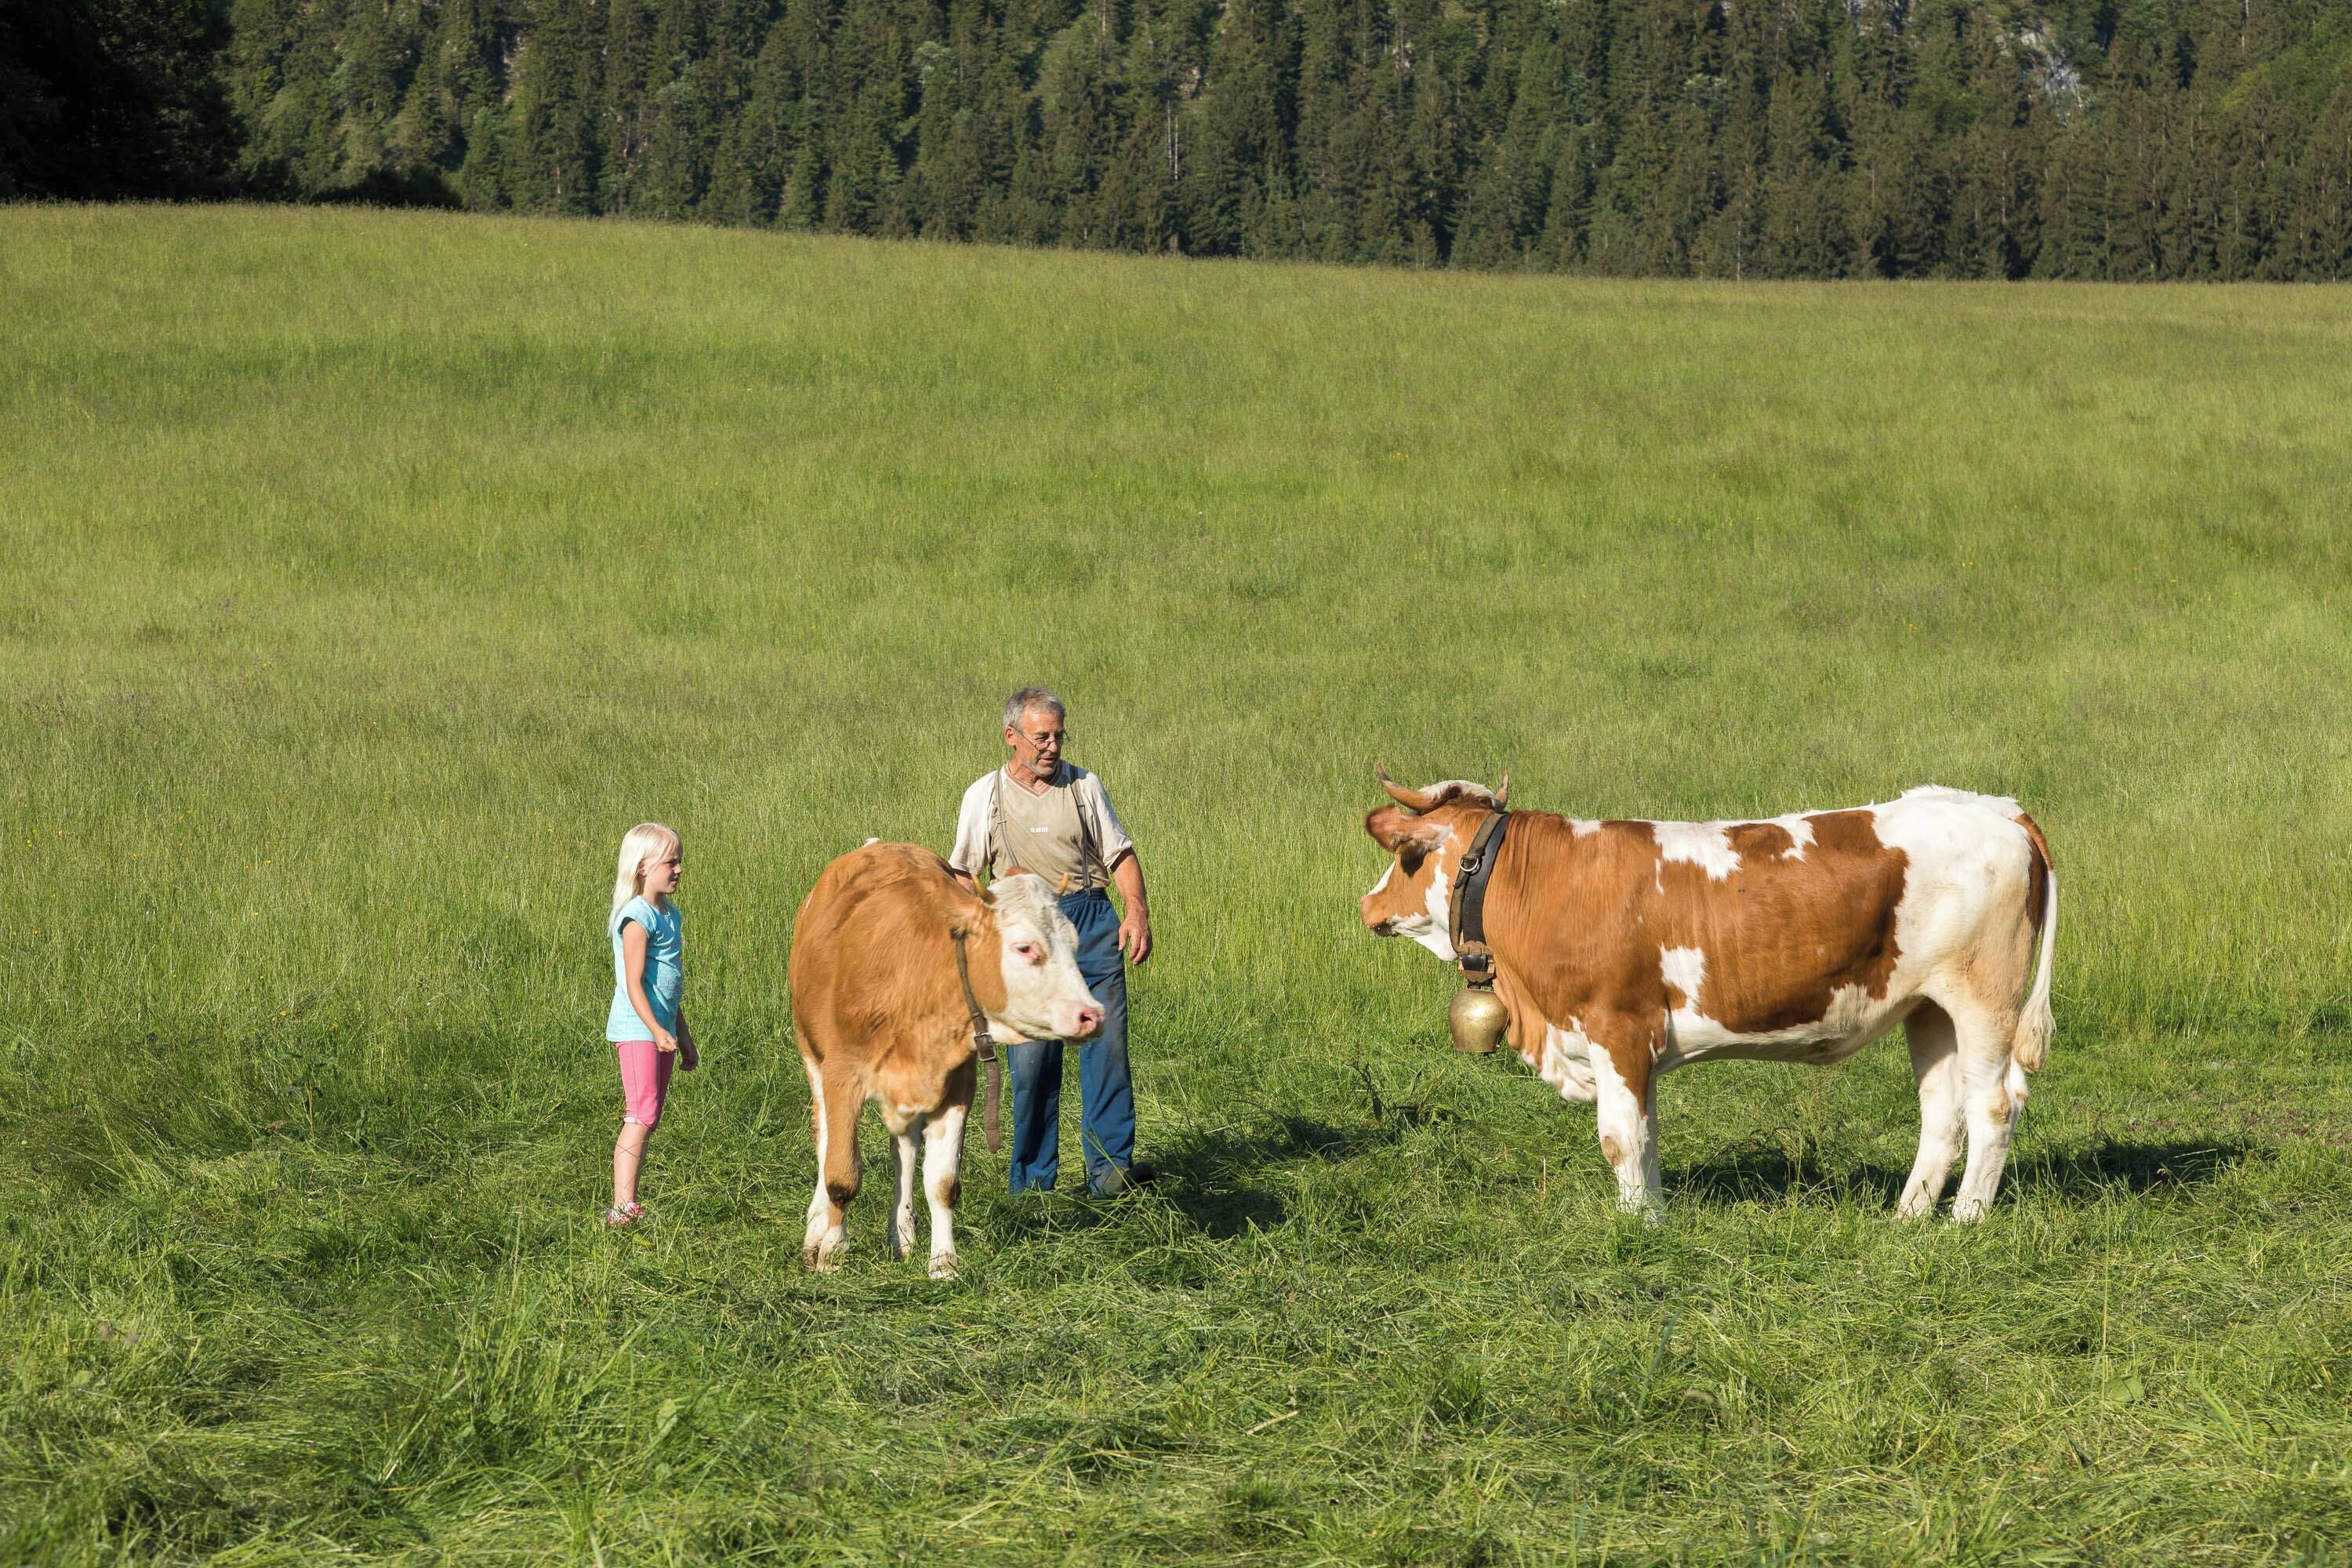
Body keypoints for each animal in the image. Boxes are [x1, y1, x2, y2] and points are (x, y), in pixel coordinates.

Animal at [789, 843, 1105, 1277]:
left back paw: (903, 1233)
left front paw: (944, 1263)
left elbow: (942, 1183)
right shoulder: (843, 1076)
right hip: (812, 1056)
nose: (1093, 1015)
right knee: (824, 1141)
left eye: (1074, 944)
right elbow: (842, 1173)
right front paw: (833, 1253)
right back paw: (817, 1228)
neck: (915, 979)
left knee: (904, 1151)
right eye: (1024, 947)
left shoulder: (957, 1085)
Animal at [1359, 775, 2057, 1221]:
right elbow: (1646, 1135)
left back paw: (1965, 1221)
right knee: (1943, 1113)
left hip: (1984, 997)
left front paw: (1636, 1229)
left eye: (1407, 856)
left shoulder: (1616, 1027)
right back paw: (1908, 1220)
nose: (1368, 903)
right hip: (1929, 1010)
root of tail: (1994, 806)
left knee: (1994, 1107)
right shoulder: (1635, 1045)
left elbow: (1619, 1138)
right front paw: (1654, 1217)